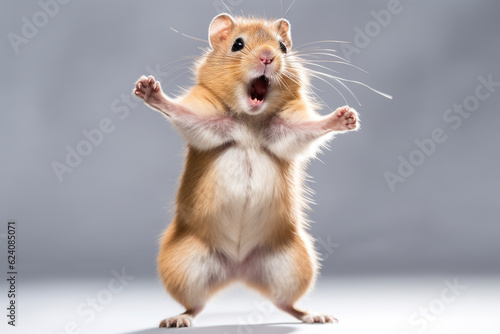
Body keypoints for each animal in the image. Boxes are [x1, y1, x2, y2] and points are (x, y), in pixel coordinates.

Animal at [133, 14, 360, 328]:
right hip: (186, 267)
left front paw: (348, 117)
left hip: (293, 266)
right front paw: (147, 88)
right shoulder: (203, 118)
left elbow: (310, 127)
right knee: (195, 305)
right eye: (237, 44)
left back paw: (317, 316)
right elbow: (180, 112)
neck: (250, 119)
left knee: (285, 303)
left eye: (282, 47)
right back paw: (176, 320)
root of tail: (238, 270)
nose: (267, 57)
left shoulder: (289, 128)